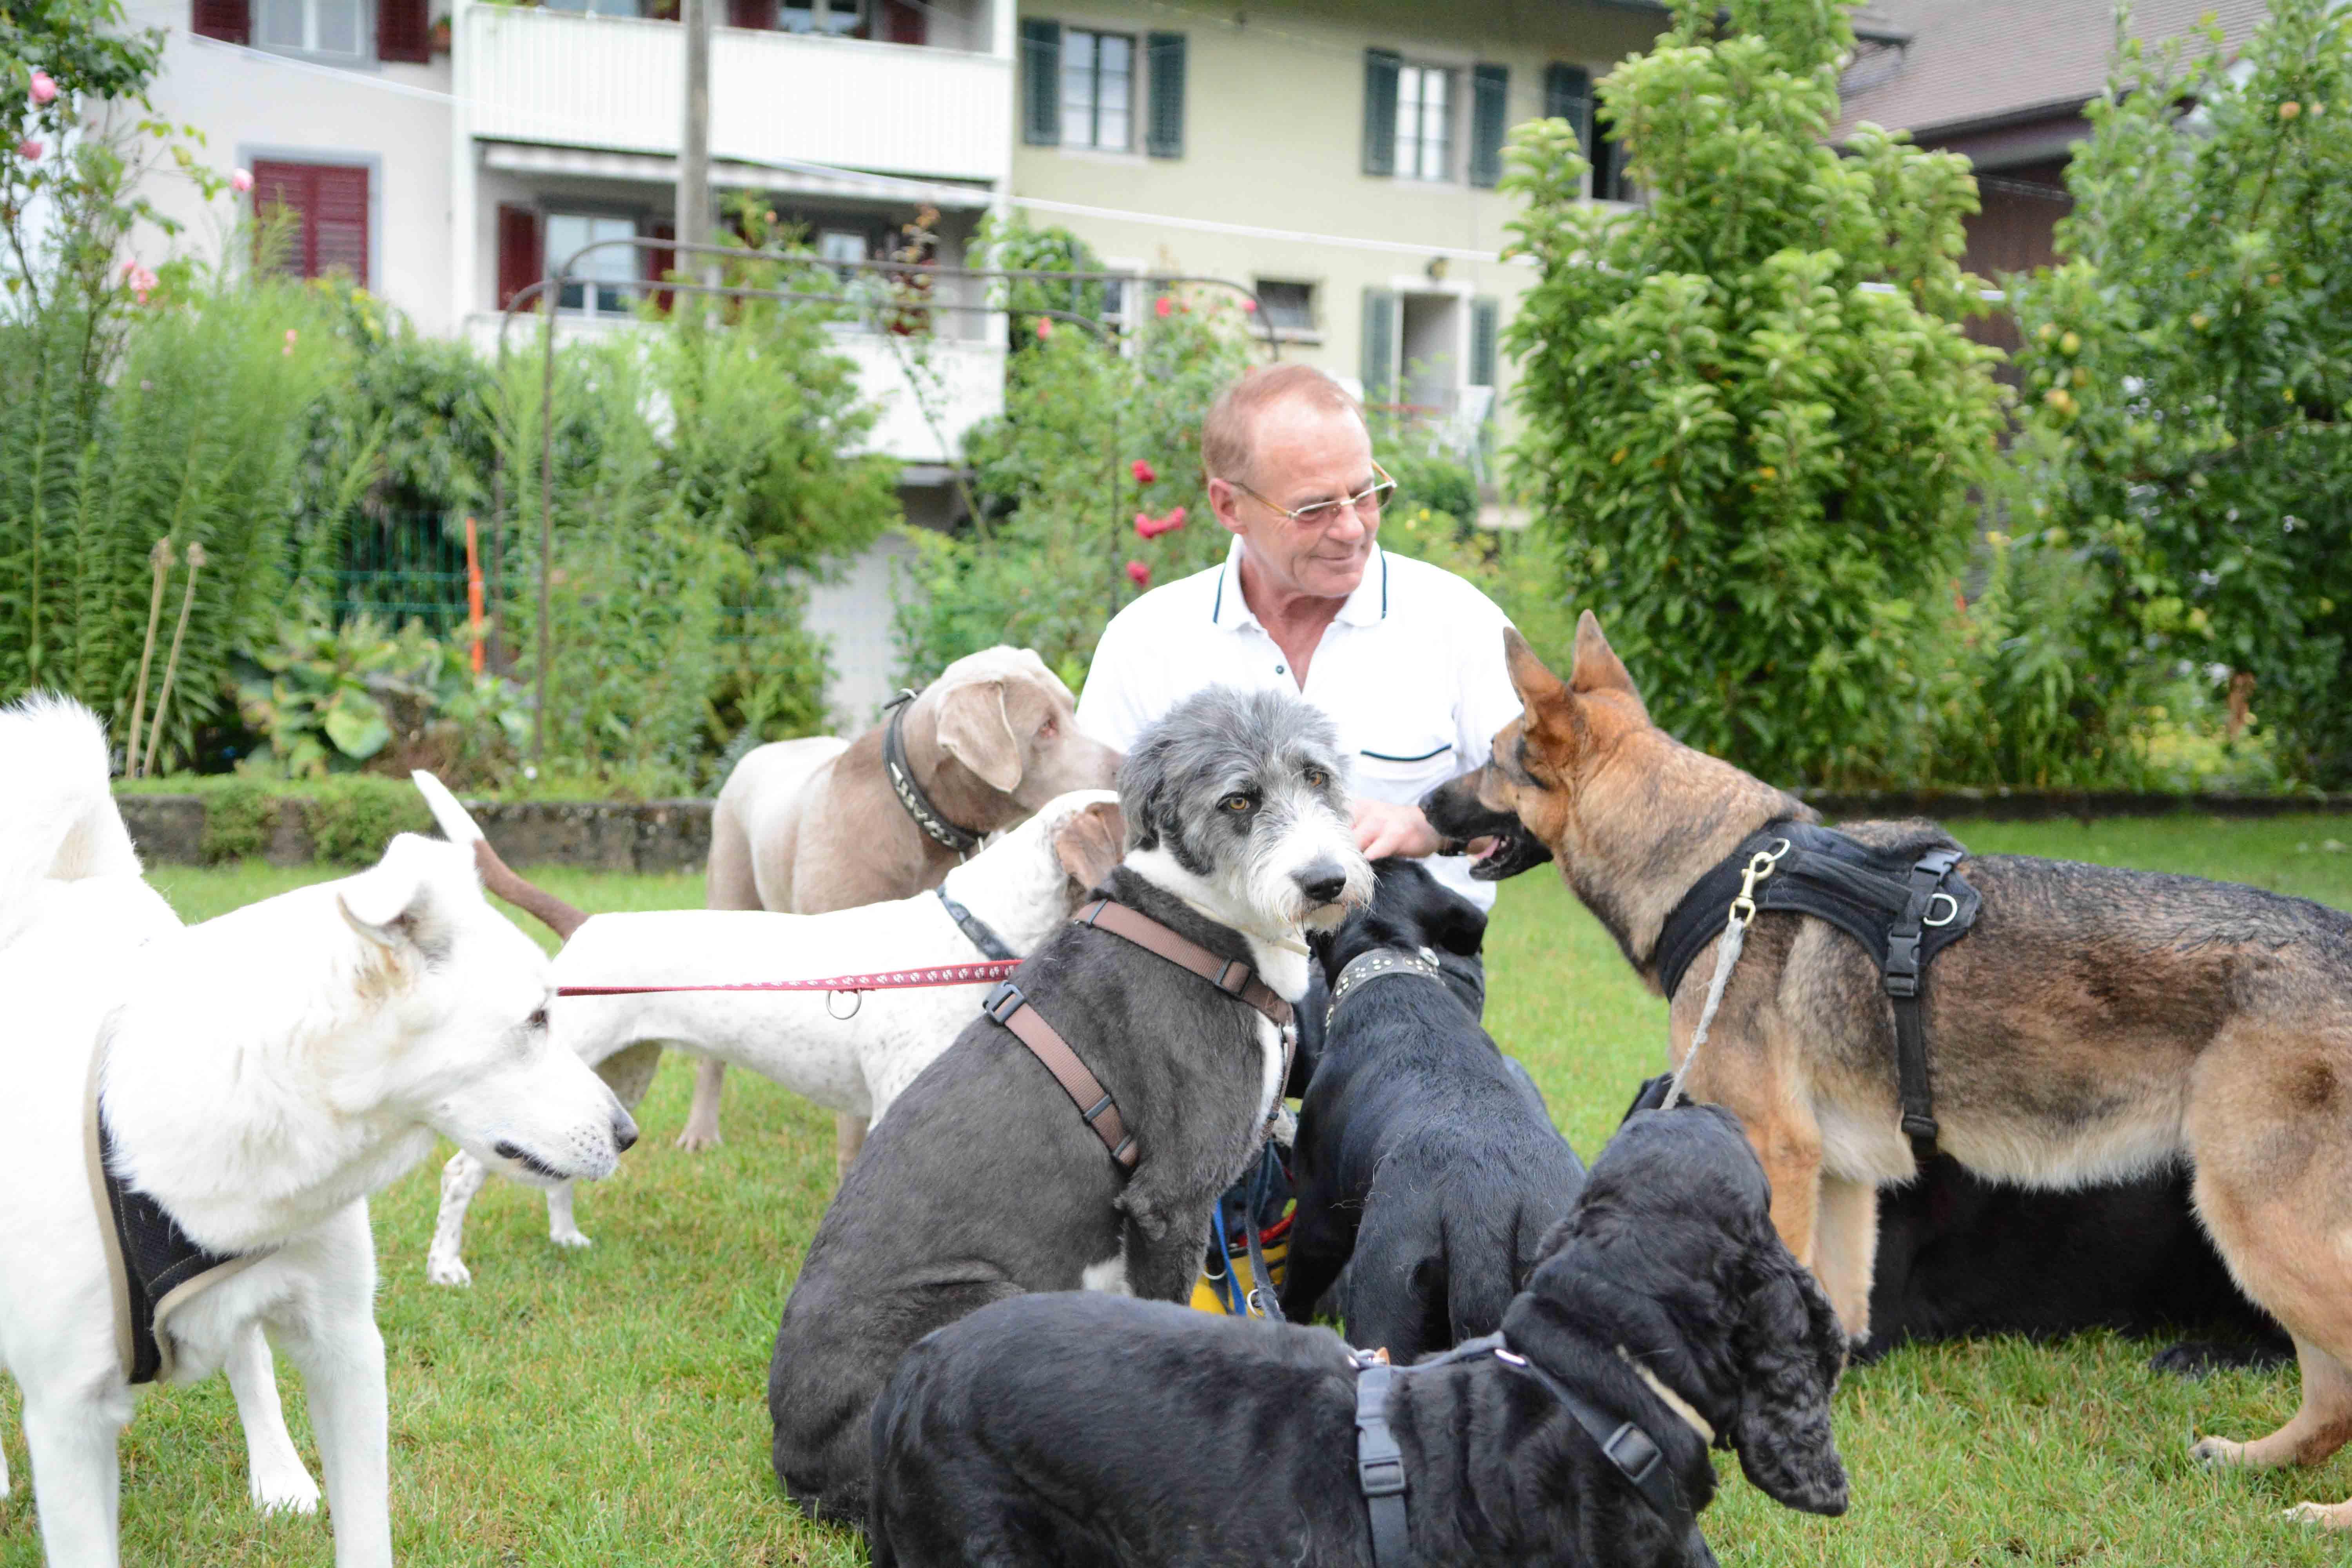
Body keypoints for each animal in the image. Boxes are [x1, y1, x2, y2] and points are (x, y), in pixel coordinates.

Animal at [0, 701, 640, 1568]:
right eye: (539, 1018)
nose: (629, 1132)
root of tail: (78, 888)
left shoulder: (346, 1348)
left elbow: (364, 1527)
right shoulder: (70, 1419)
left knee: (248, 1358)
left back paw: (278, 1475)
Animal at [409, 780, 1124, 1298]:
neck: (969, 936)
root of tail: (587, 922)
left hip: (616, 1079)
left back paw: (566, 1240)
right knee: (459, 1173)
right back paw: (446, 1268)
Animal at [1421, 621, 2352, 1523]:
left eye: (1494, 758)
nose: (1422, 803)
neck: (1716, 870)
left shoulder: (1780, 1157)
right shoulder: (1838, 1178)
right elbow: (1828, 1327)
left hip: (2257, 1226)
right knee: (2329, 1400)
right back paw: (2256, 1463)